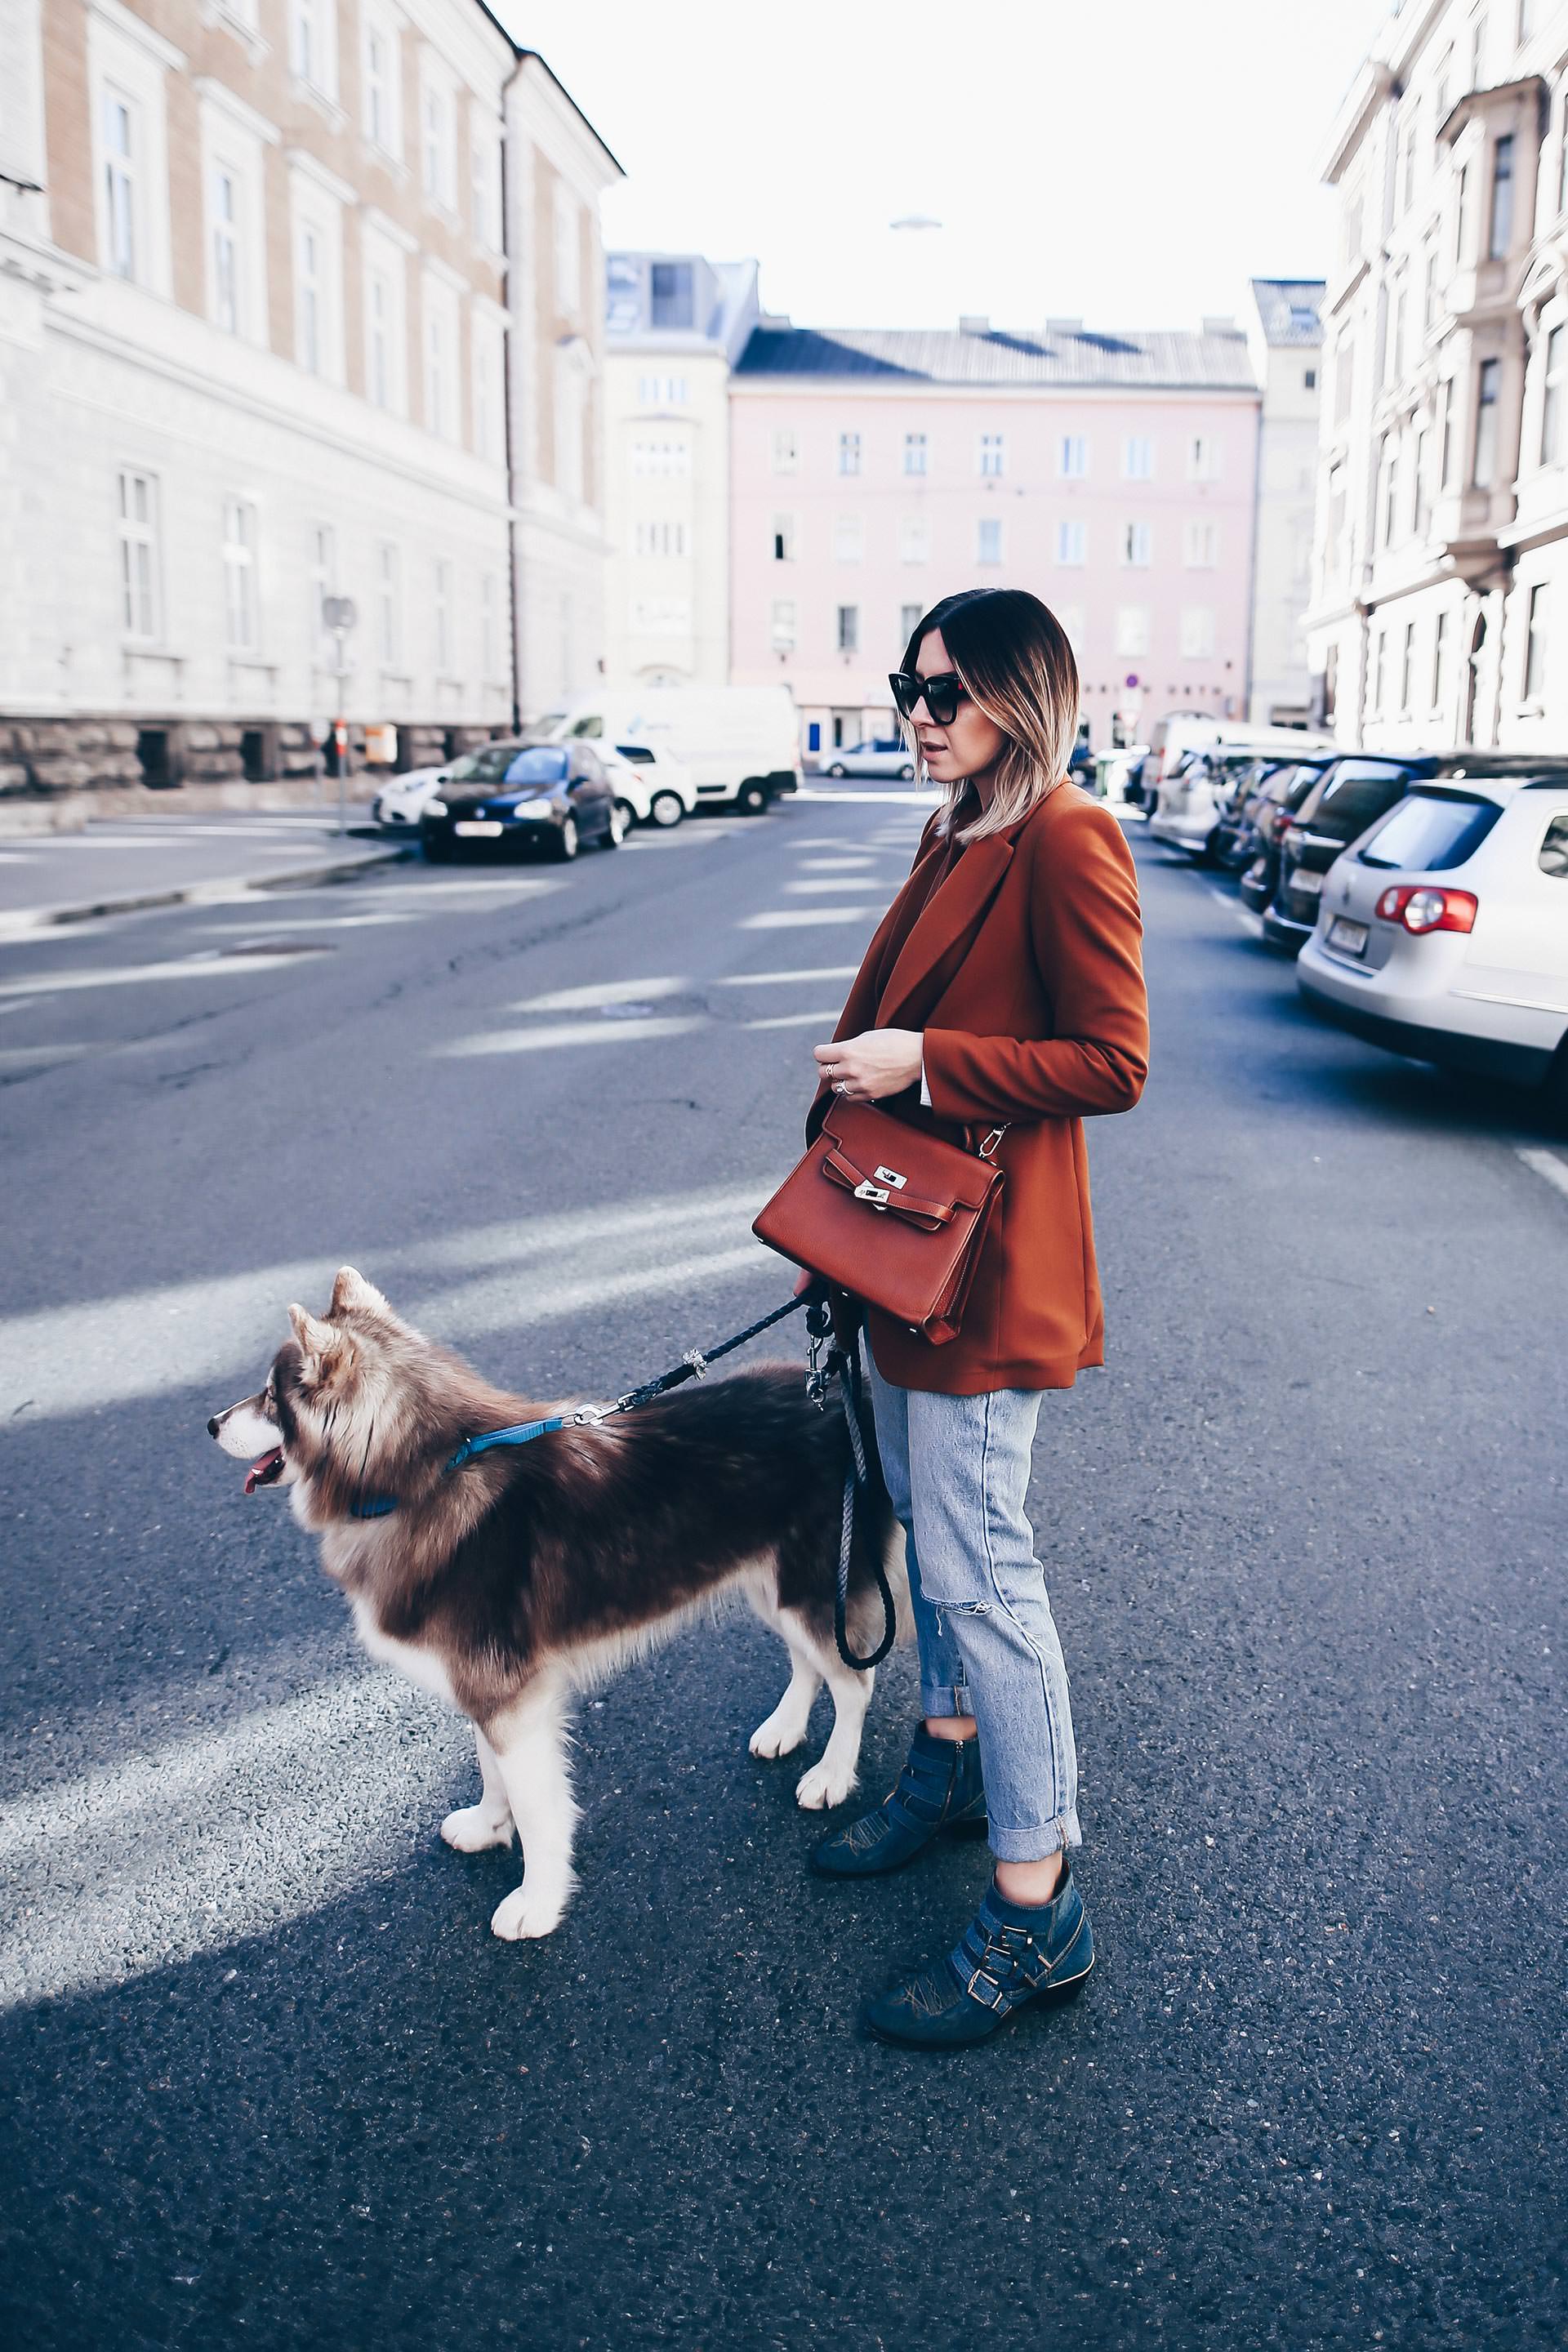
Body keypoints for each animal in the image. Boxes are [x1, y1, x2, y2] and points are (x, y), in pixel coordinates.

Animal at [205, 1279, 907, 1938]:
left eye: (269, 1396)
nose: (210, 1424)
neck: (423, 1478)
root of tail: (846, 1393)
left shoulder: (512, 1700)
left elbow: (538, 1809)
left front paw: (536, 1902)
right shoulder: (487, 1688)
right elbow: (492, 1775)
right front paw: (489, 1826)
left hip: (815, 1584)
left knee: (855, 1682)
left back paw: (833, 1772)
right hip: (776, 1584)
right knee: (809, 1661)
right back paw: (785, 1728)